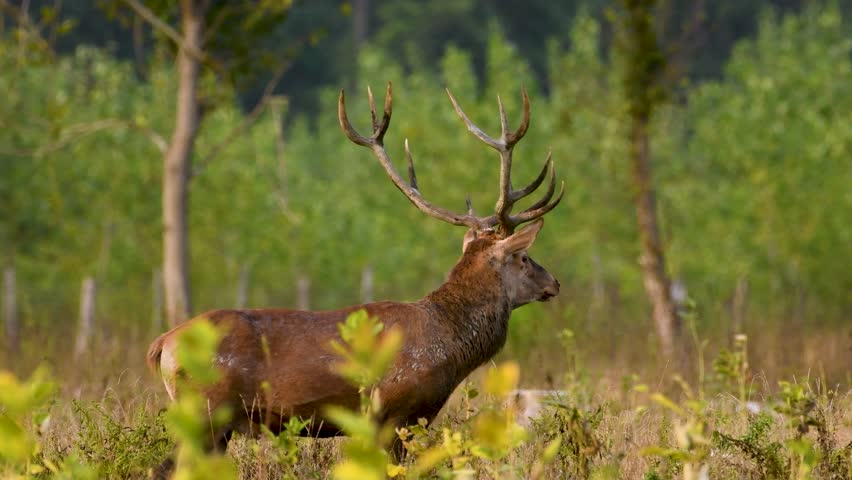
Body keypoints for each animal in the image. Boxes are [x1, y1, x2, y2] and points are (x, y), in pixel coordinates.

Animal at [147, 82, 564, 460]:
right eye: (524, 257)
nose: (555, 282)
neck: (448, 345)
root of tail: (162, 343)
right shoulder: (391, 411)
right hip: (206, 411)